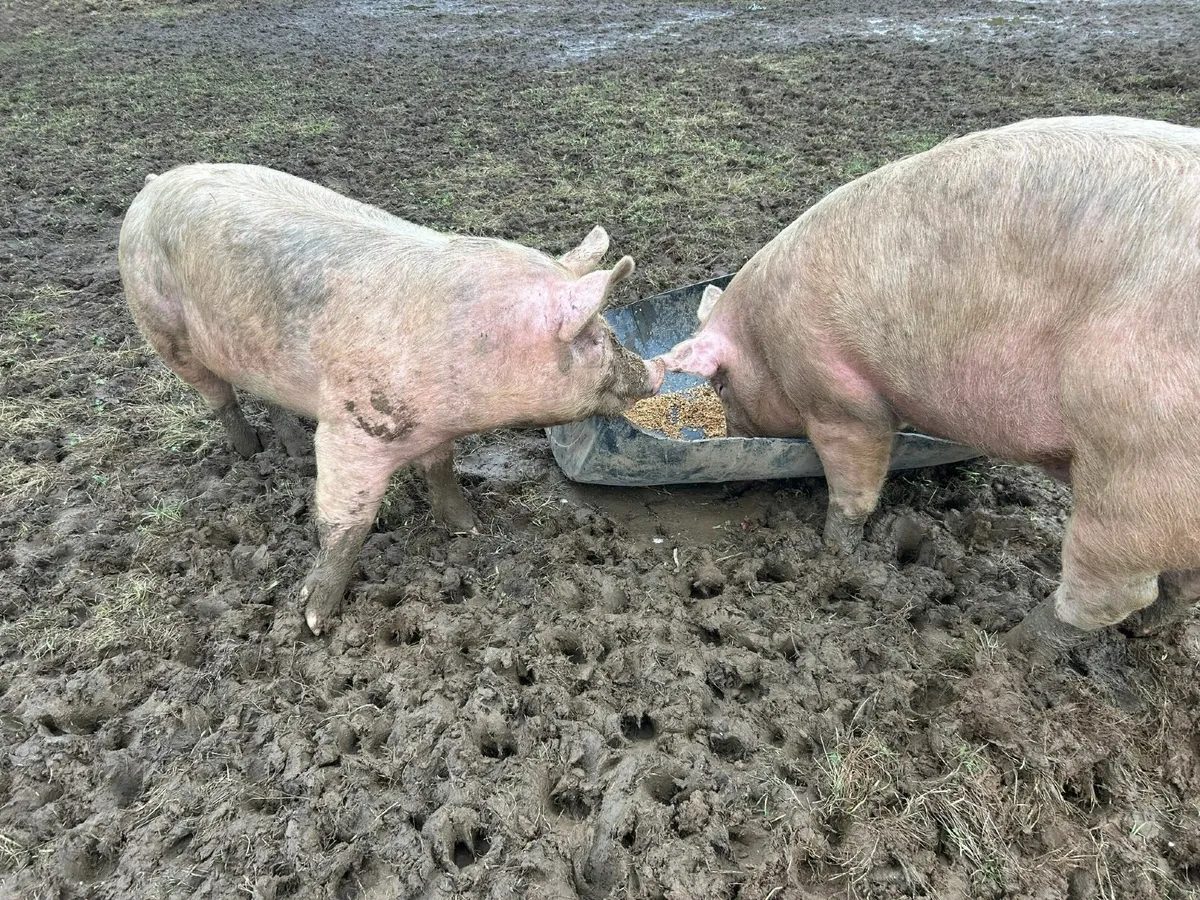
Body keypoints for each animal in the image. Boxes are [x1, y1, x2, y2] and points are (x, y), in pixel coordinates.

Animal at [118, 163, 664, 634]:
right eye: (596, 338)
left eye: (608, 329)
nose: (655, 372)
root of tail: (154, 183)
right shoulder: (353, 429)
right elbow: (347, 522)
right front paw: (314, 620)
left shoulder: (434, 429)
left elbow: (443, 474)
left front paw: (470, 530)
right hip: (161, 325)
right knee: (219, 397)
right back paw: (249, 452)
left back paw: (291, 453)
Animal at [657, 116, 1200, 661]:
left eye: (720, 385)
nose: (731, 442)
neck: (764, 335)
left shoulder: (841, 399)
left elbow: (854, 491)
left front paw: (833, 553)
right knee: (1179, 582)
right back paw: (1143, 631)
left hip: (1139, 456)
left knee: (1112, 591)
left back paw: (1007, 648)